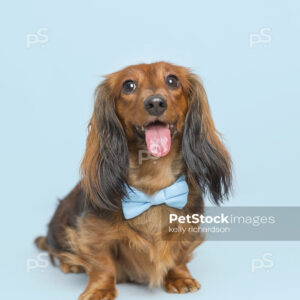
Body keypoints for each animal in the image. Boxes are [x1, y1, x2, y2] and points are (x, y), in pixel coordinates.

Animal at [35, 61, 232, 300]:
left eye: (172, 80)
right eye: (128, 85)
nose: (155, 103)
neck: (154, 183)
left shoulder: (188, 228)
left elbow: (179, 254)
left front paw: (179, 277)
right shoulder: (92, 232)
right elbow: (102, 263)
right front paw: (100, 289)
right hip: (60, 224)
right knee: (56, 250)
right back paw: (70, 263)